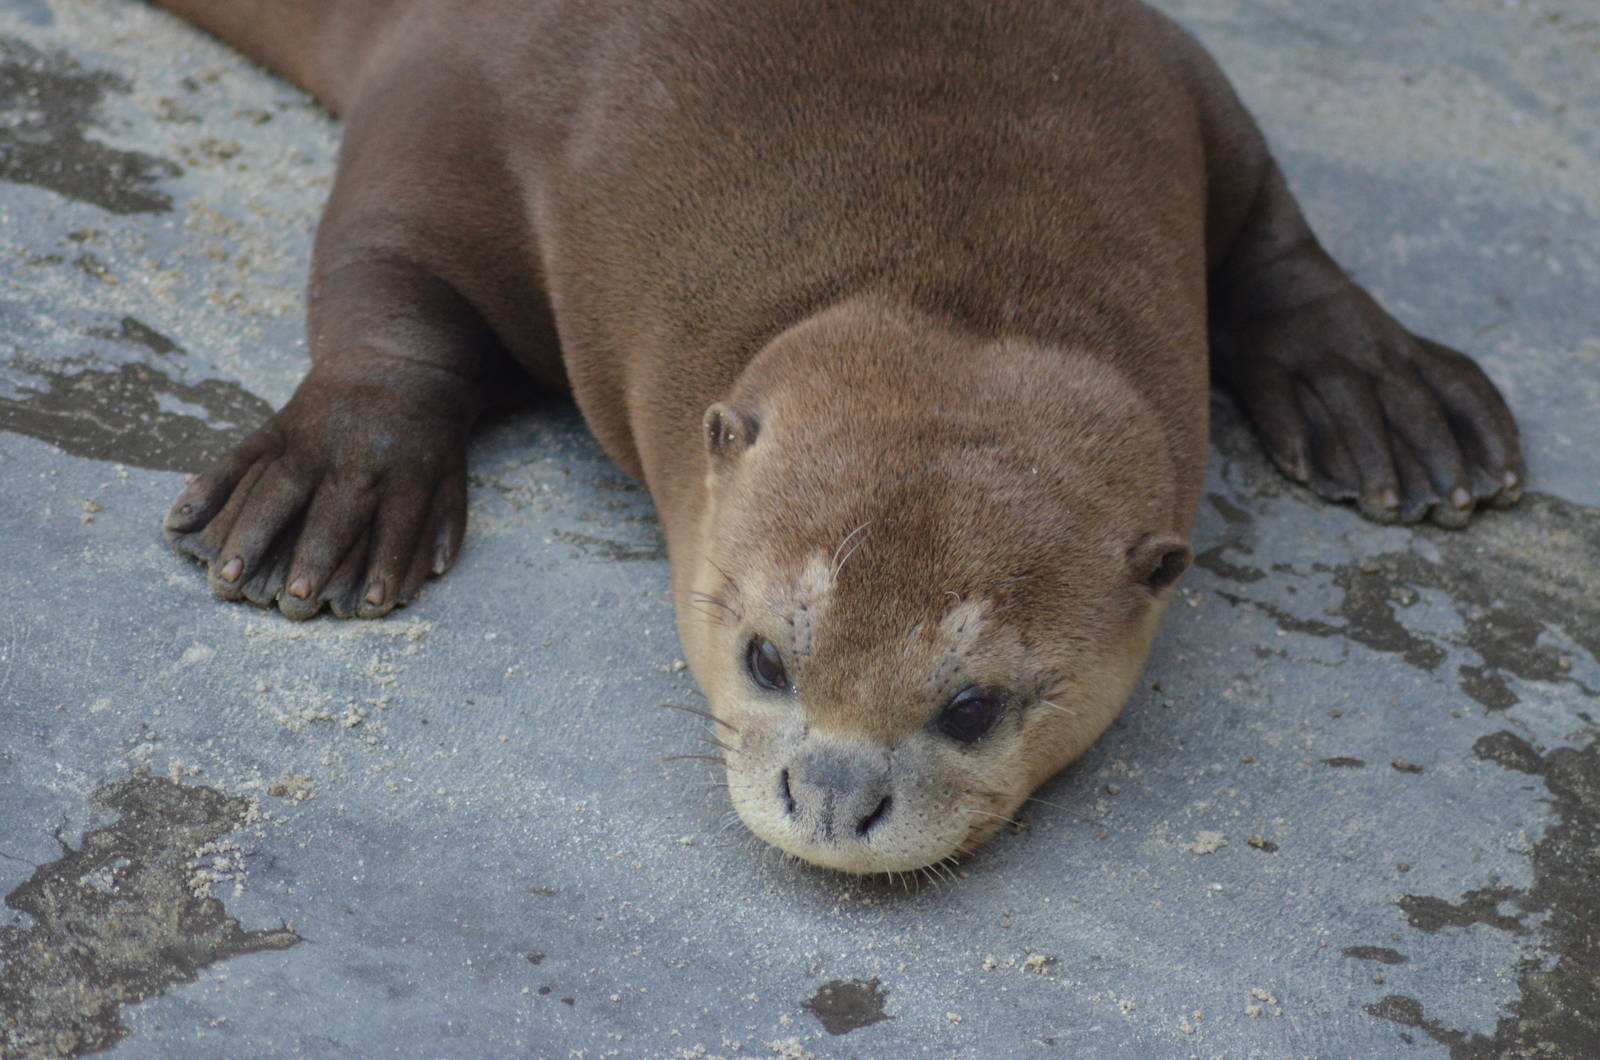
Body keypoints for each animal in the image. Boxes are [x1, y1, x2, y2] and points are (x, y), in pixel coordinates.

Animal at [157, 0, 1522, 873]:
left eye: (970, 705)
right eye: (765, 657)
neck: (952, 261)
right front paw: (335, 477)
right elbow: (389, 277)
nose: (830, 797)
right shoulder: (466, 97)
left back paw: (1388, 397)